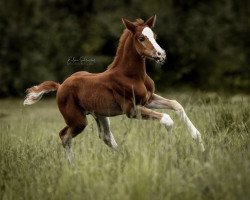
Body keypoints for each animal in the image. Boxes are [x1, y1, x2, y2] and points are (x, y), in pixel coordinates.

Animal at [23, 14, 205, 160]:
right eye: (141, 38)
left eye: (154, 36)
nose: (161, 55)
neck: (131, 75)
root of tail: (60, 86)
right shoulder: (131, 110)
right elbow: (167, 119)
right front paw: (169, 149)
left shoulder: (149, 99)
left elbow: (176, 104)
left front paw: (199, 140)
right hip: (77, 120)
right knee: (64, 136)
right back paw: (72, 166)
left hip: (100, 114)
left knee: (105, 137)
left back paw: (123, 157)